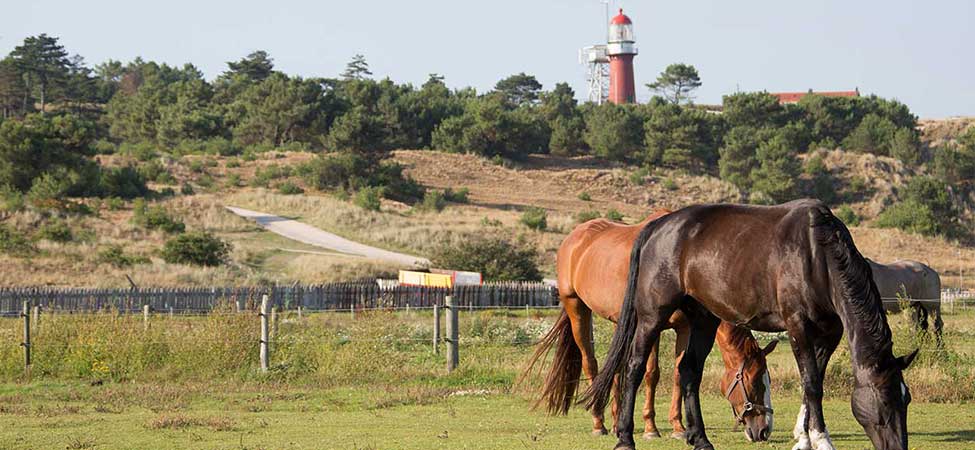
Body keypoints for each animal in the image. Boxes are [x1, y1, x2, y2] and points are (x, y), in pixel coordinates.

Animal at [528, 212, 776, 442]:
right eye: (753, 380)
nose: (764, 431)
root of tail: (576, 236)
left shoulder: (684, 328)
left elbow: (678, 373)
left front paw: (678, 427)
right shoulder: (653, 325)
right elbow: (651, 374)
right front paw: (650, 428)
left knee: (615, 367)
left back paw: (617, 422)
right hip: (577, 308)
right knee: (591, 363)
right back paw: (599, 422)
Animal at [584, 200, 920, 450]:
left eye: (906, 399)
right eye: (885, 399)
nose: (898, 447)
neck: (816, 254)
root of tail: (656, 227)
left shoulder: (830, 332)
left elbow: (812, 384)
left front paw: (803, 436)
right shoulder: (797, 327)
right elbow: (811, 383)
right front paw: (820, 440)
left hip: (703, 320)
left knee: (689, 371)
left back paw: (701, 439)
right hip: (652, 316)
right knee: (634, 367)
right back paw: (625, 438)